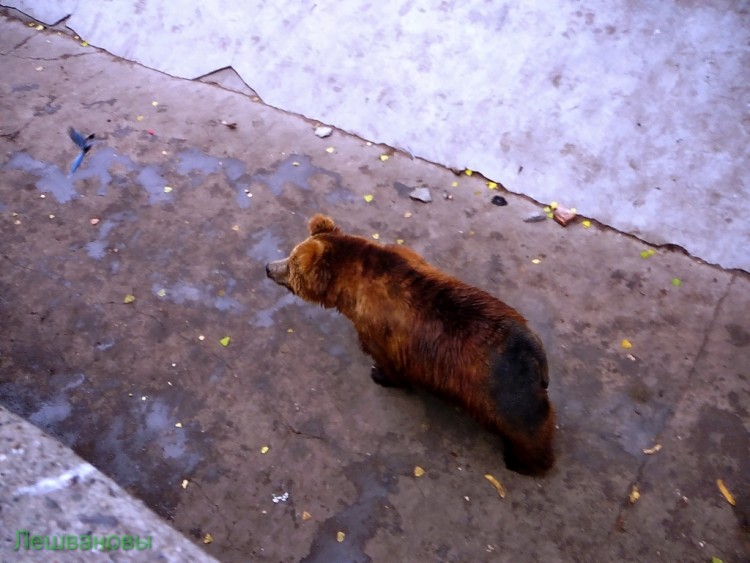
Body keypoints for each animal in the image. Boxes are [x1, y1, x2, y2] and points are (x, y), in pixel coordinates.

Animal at [268, 215, 556, 476]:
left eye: (291, 264)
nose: (269, 267)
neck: (351, 289)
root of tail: (534, 350)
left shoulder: (380, 329)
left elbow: (386, 360)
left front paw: (380, 374)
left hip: (503, 389)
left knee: (528, 429)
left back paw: (522, 462)